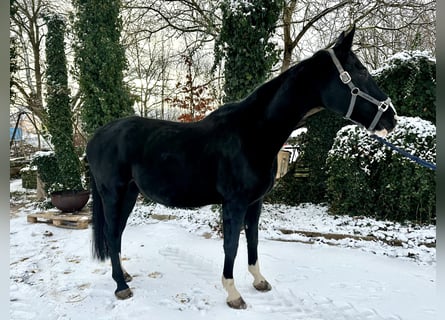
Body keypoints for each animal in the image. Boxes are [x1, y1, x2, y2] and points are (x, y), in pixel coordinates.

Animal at [86, 28, 396, 310]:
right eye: (360, 72)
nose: (391, 118)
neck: (252, 134)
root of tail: (95, 138)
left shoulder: (255, 202)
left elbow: (253, 241)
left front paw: (259, 281)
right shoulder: (233, 203)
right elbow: (232, 245)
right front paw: (233, 294)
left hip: (129, 194)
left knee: (116, 233)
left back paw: (124, 275)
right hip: (113, 194)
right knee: (112, 234)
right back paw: (121, 286)